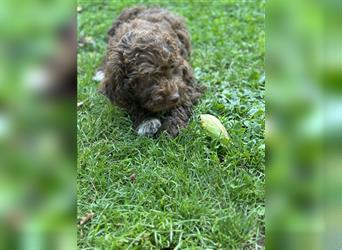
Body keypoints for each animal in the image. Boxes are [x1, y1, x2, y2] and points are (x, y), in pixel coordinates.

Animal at [94, 5, 203, 137]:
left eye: (173, 68)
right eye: (148, 77)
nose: (174, 97)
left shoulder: (187, 82)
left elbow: (183, 101)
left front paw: (172, 125)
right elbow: (133, 105)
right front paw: (147, 121)